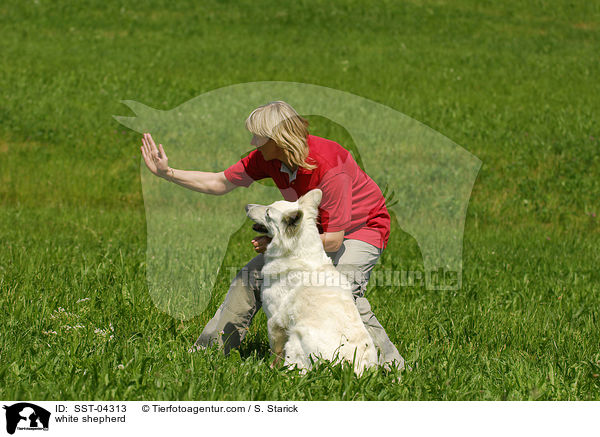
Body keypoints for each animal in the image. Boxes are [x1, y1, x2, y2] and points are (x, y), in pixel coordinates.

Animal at [243, 188, 376, 374]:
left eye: (268, 213)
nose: (247, 207)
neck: (297, 252)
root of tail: (349, 370)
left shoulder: (274, 321)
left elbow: (275, 352)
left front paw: (269, 368)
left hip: (296, 338)